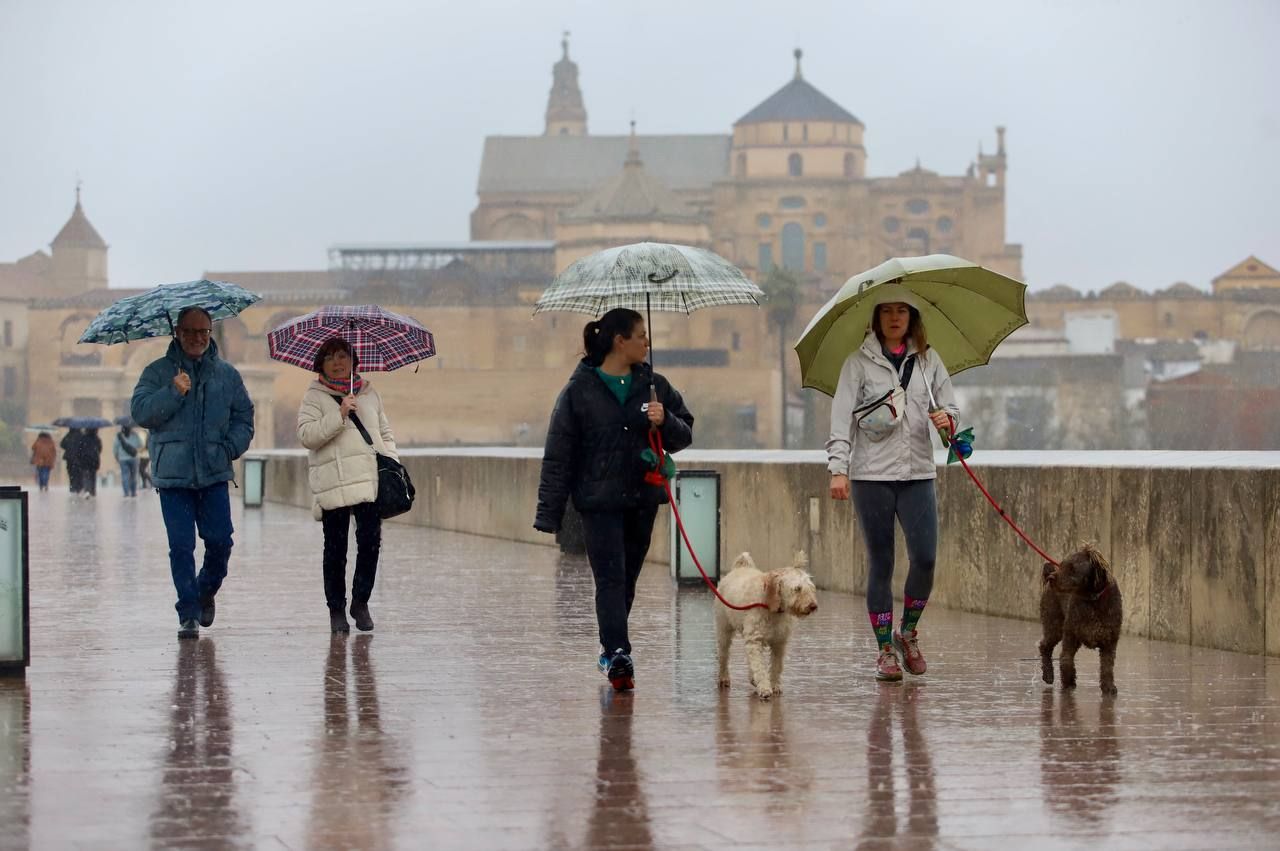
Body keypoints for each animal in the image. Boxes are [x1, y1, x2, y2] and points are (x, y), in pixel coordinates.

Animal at [711, 550, 819, 696]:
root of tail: (740, 567)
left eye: (811, 588)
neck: (772, 608)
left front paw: (774, 685)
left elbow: (776, 666)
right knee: (724, 655)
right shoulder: (755, 639)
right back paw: (723, 677)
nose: (813, 606)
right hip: (724, 630)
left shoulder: (779, 643)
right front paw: (764, 688)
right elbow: (759, 666)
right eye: (797, 589)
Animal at [1039, 545, 1121, 696]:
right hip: (1054, 625)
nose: (1051, 578)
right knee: (1044, 646)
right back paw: (1048, 675)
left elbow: (1107, 667)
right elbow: (1066, 659)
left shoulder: (1109, 642)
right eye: (1062, 564)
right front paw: (1068, 683)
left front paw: (1108, 687)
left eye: (1072, 568)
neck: (1093, 599)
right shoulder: (1071, 636)